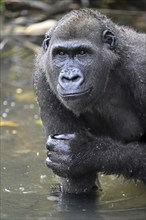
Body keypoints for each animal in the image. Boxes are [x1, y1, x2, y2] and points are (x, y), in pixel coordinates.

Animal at [33, 9, 146, 194]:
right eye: (61, 54)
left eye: (82, 53)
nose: (70, 77)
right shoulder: (42, 75)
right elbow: (77, 186)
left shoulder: (141, 68)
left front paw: (83, 153)